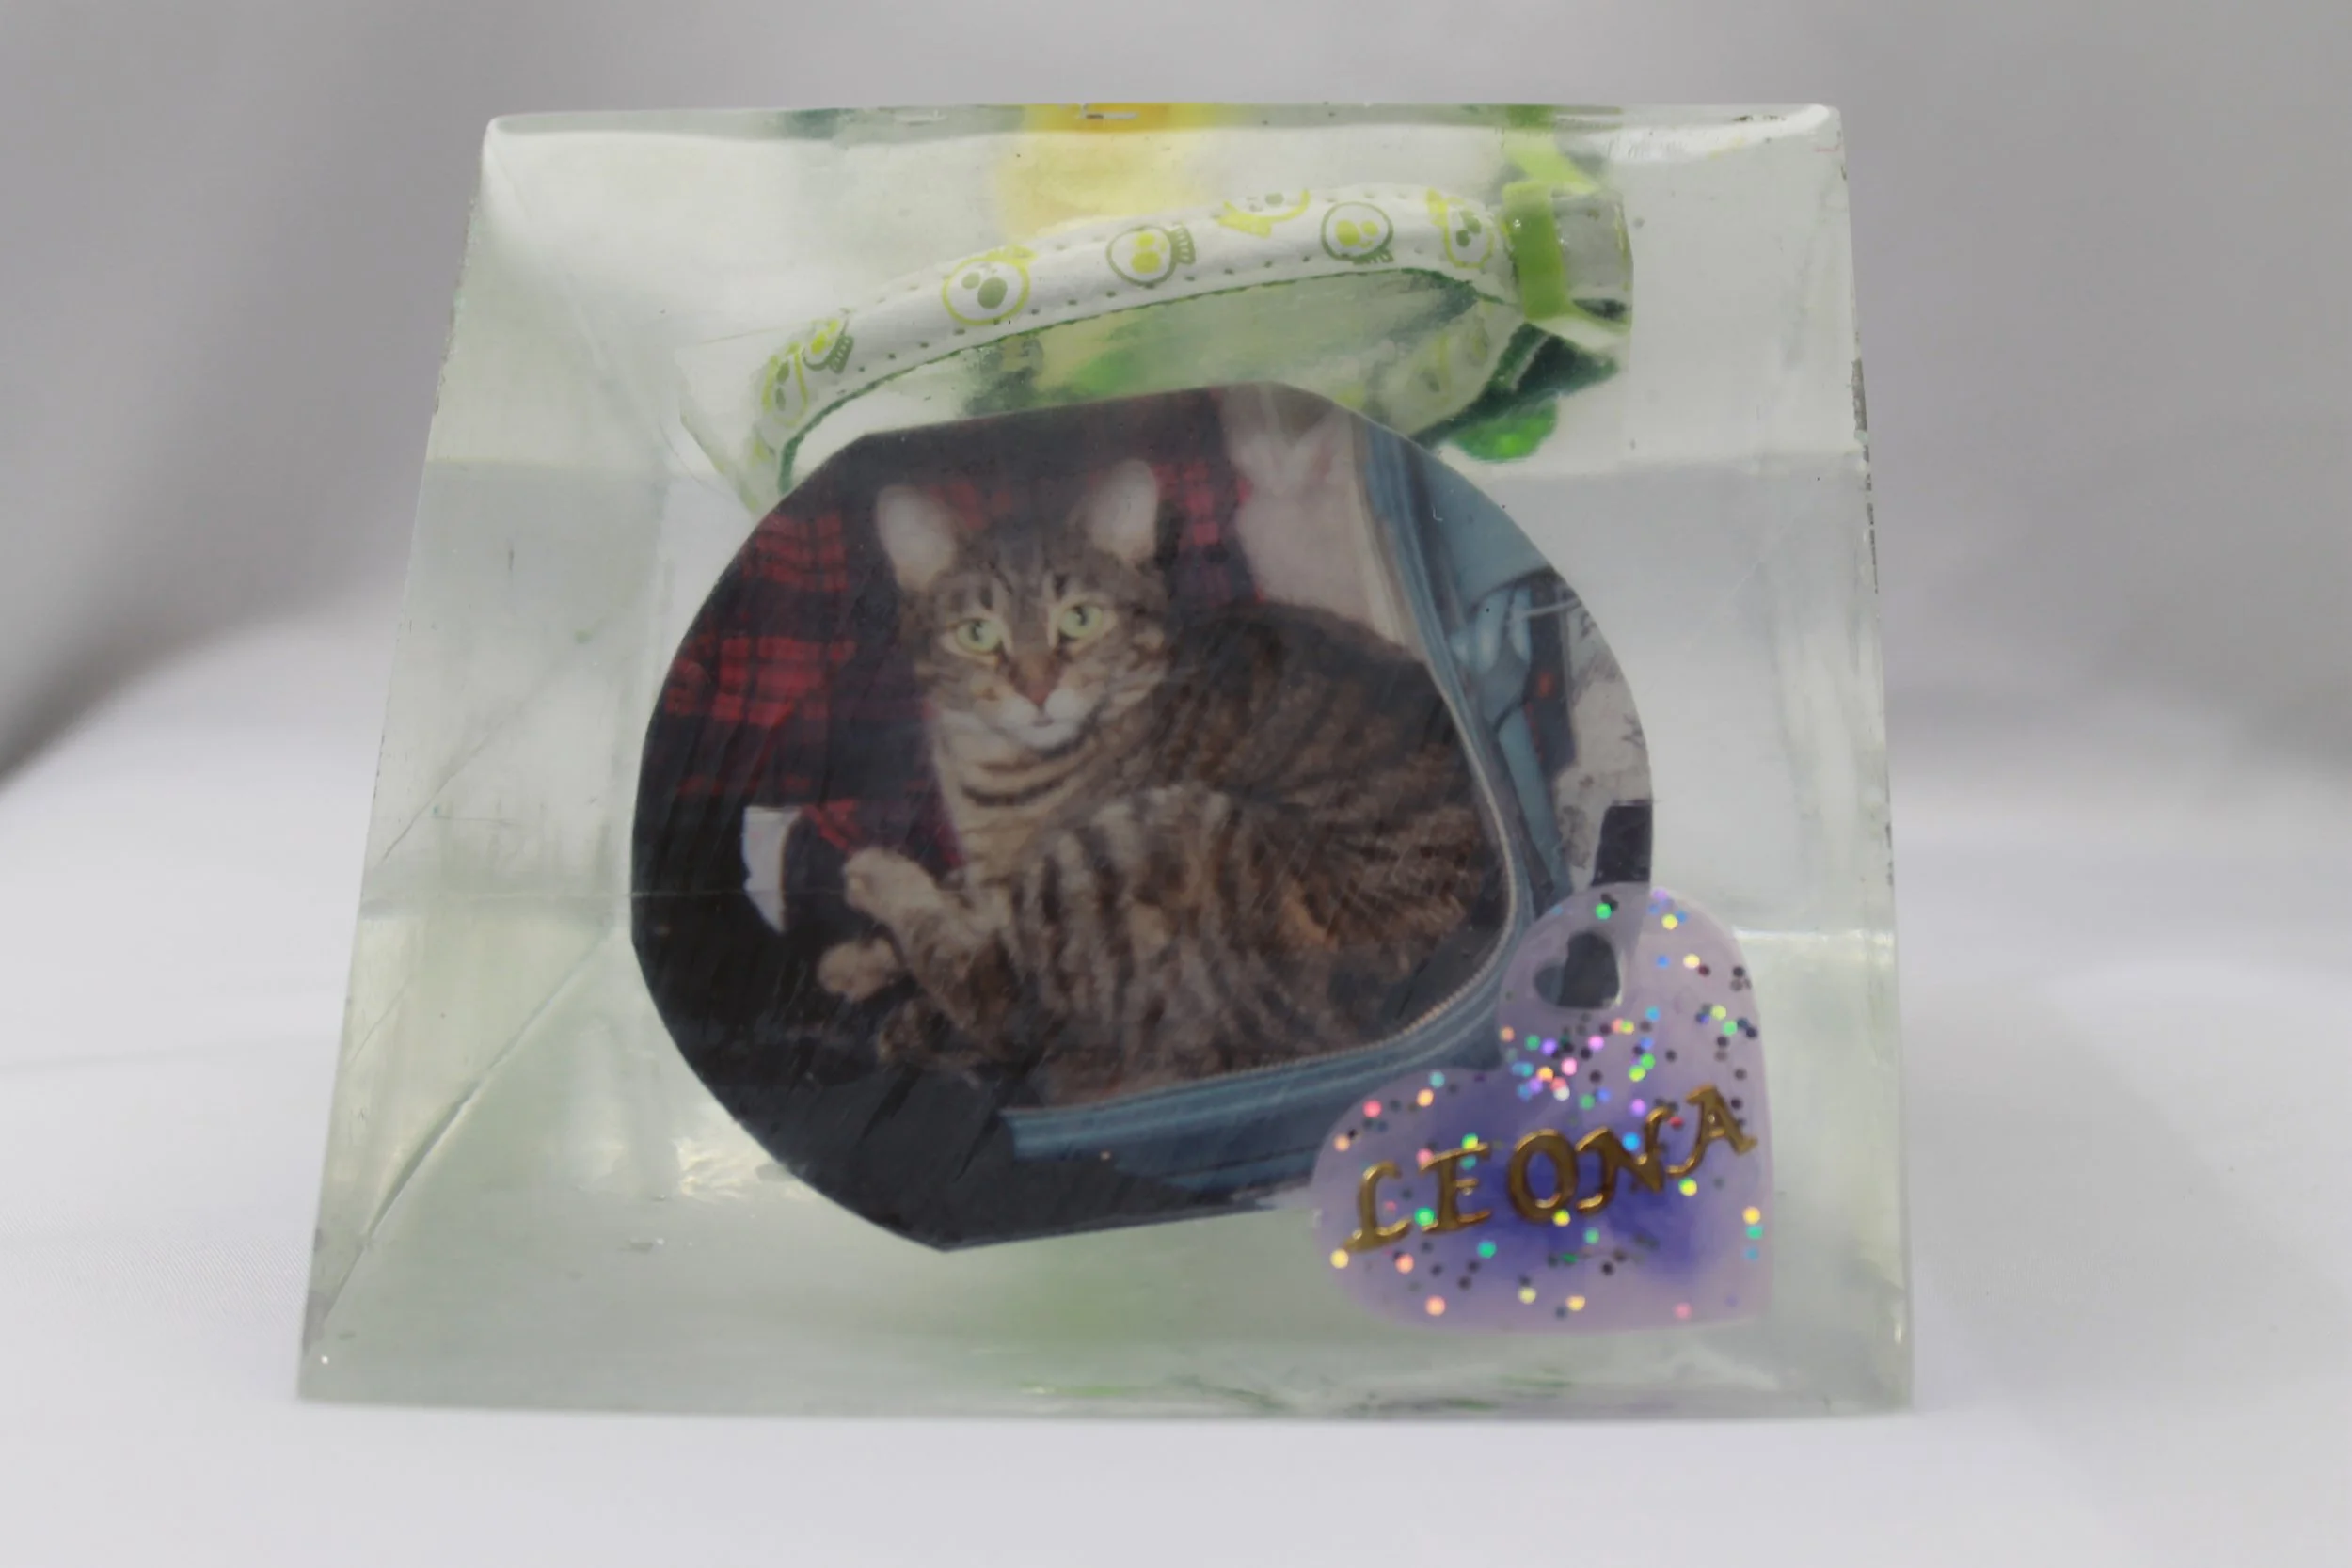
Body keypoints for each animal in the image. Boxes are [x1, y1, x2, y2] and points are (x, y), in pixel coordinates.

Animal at [816, 457, 1499, 1104]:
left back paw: (879, 880)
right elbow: (959, 892)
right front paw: (860, 958)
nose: (1037, 688)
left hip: (1137, 848)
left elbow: (967, 944)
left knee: (993, 998)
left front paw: (883, 933)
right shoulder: (992, 877)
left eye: (1081, 619)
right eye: (978, 633)